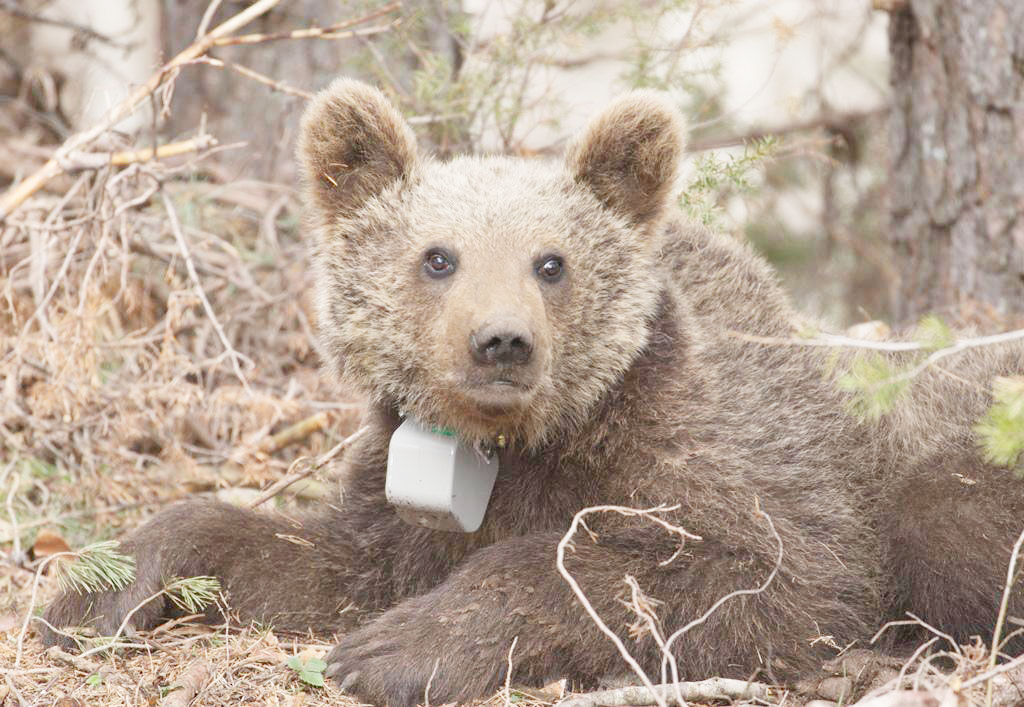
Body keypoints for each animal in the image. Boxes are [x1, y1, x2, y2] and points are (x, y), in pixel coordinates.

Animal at [41, 79, 1024, 700]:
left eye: (552, 261)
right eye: (437, 256)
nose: (501, 342)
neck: (518, 442)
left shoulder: (734, 463)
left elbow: (745, 574)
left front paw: (395, 649)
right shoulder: (393, 507)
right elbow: (303, 555)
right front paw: (91, 594)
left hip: (954, 443)